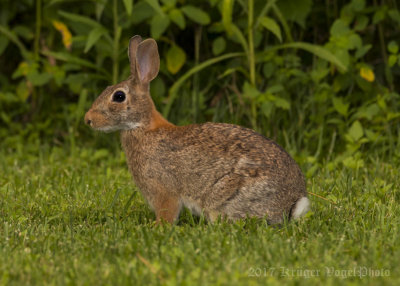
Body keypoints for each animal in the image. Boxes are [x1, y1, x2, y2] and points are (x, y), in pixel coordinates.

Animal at [83, 35, 310, 225]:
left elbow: (167, 212)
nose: (88, 120)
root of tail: (290, 205)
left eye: (119, 96)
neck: (143, 127)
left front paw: (156, 227)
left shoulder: (163, 190)